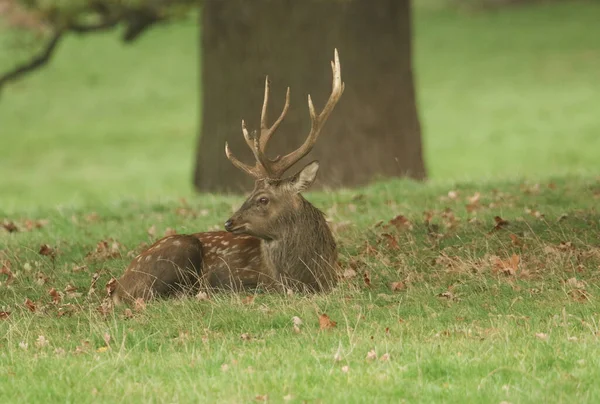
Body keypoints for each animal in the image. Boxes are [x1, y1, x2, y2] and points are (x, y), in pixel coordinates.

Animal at [110, 49, 344, 304]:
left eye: (263, 198)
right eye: (249, 194)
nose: (229, 222)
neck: (305, 277)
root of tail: (119, 287)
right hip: (178, 250)